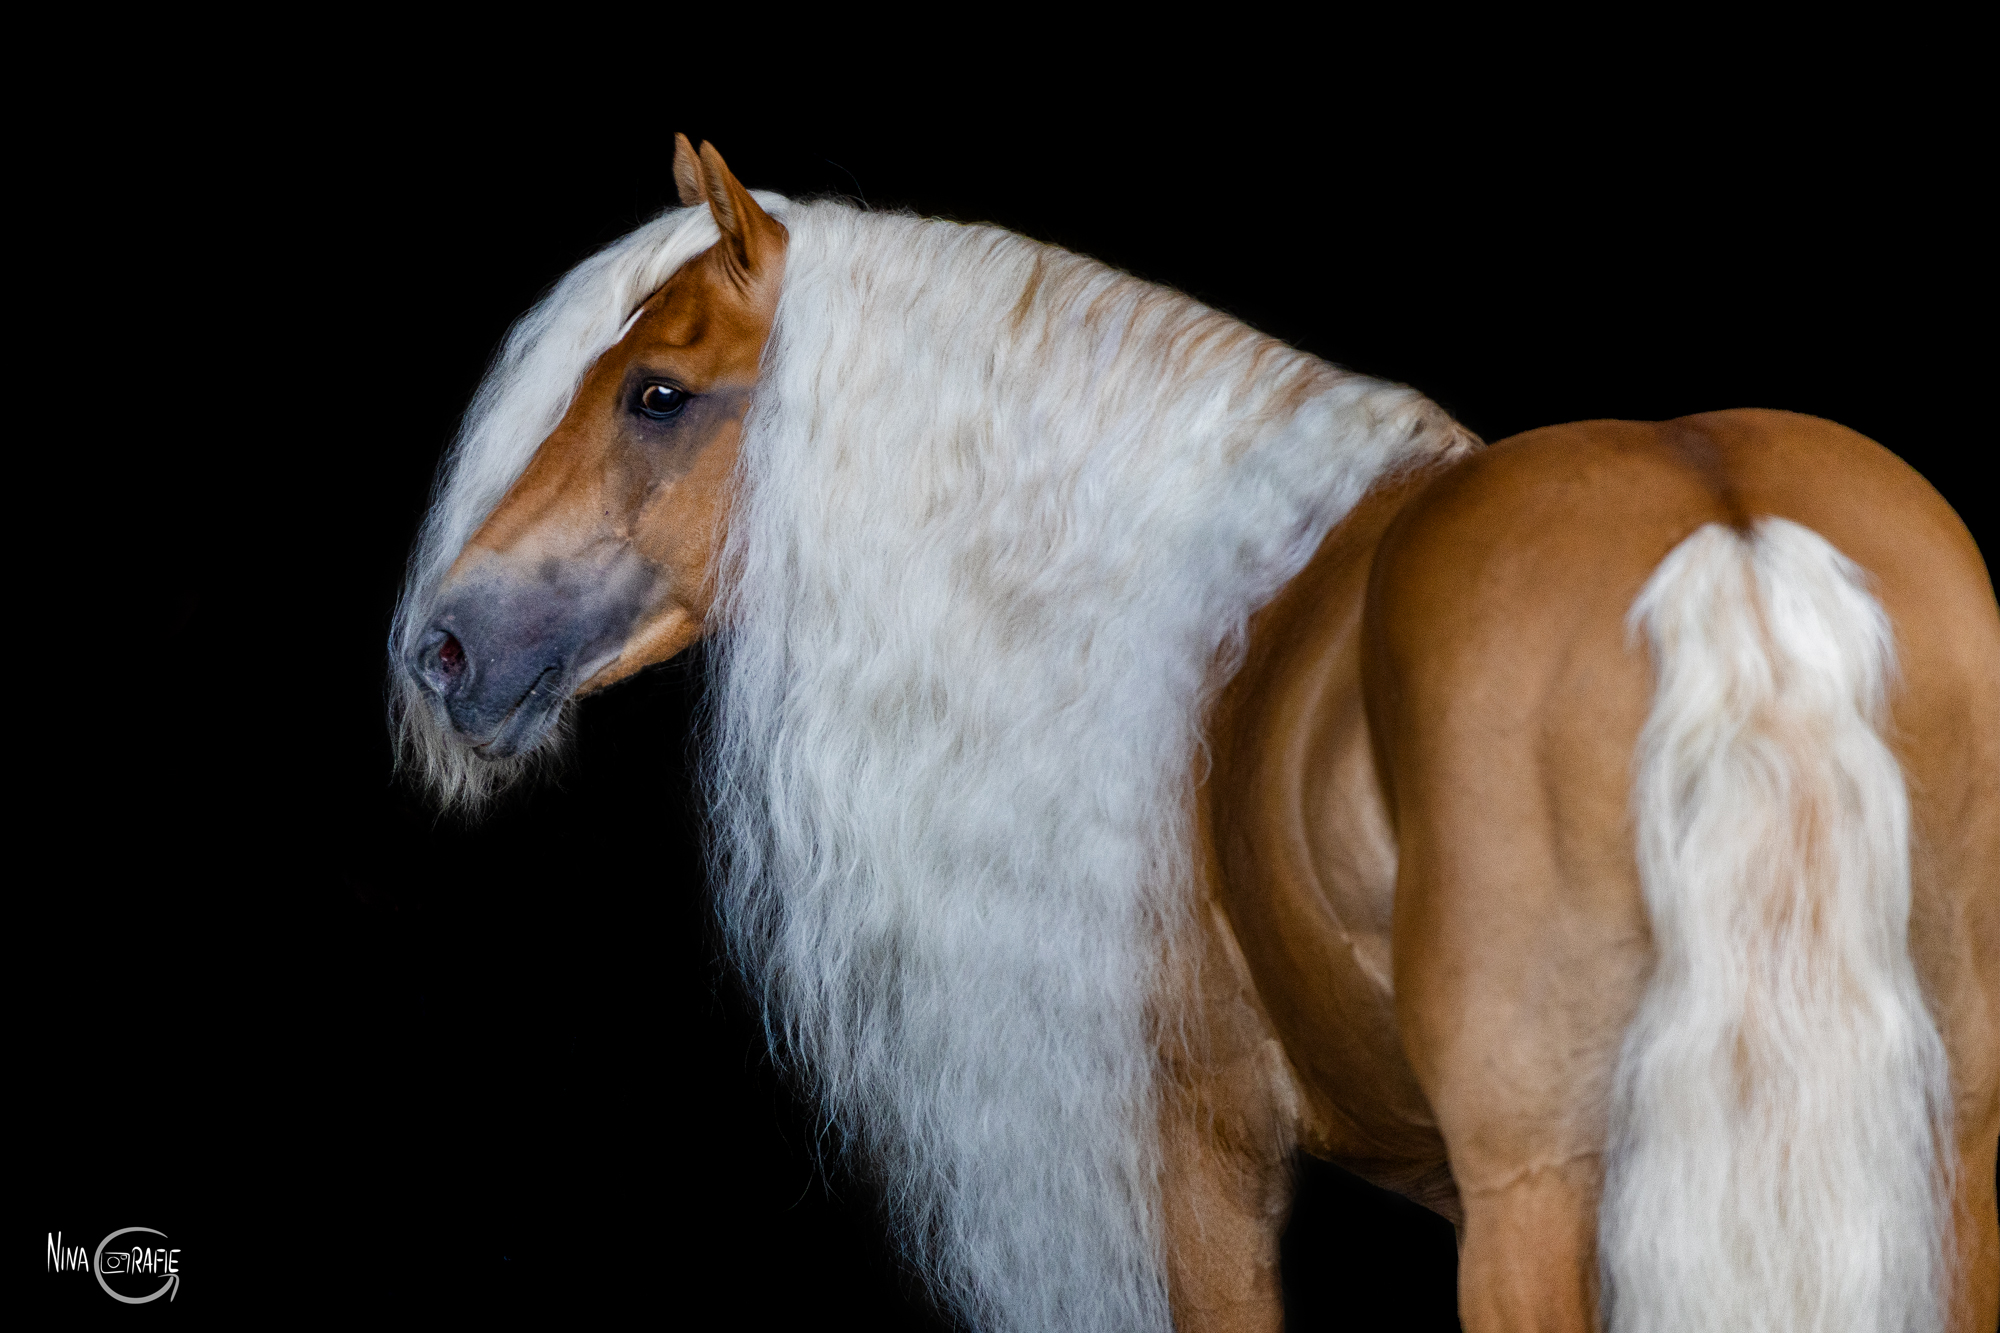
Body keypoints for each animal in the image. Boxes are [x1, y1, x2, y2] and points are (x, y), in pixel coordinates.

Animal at [390, 137, 1998, 1332]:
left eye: (656, 394)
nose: (443, 647)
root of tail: (1726, 532)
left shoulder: (1200, 1161)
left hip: (1538, 1193)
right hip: (1943, 1156)